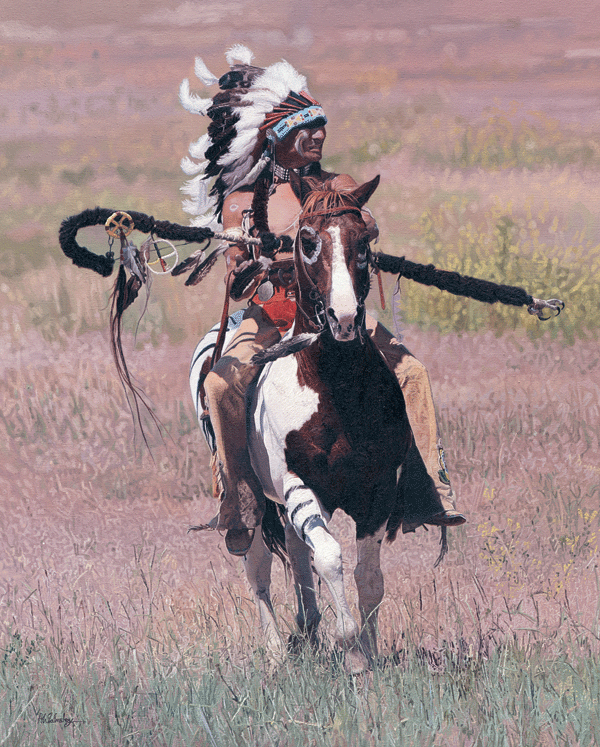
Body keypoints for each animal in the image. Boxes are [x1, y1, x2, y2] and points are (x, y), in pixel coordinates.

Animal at [190, 173, 412, 672]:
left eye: (365, 239)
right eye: (308, 241)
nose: (344, 319)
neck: (335, 388)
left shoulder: (378, 491)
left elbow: (370, 577)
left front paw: (367, 653)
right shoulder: (300, 485)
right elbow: (329, 557)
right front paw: (349, 646)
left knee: (295, 552)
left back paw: (308, 629)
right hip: (253, 501)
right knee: (259, 569)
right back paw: (276, 652)